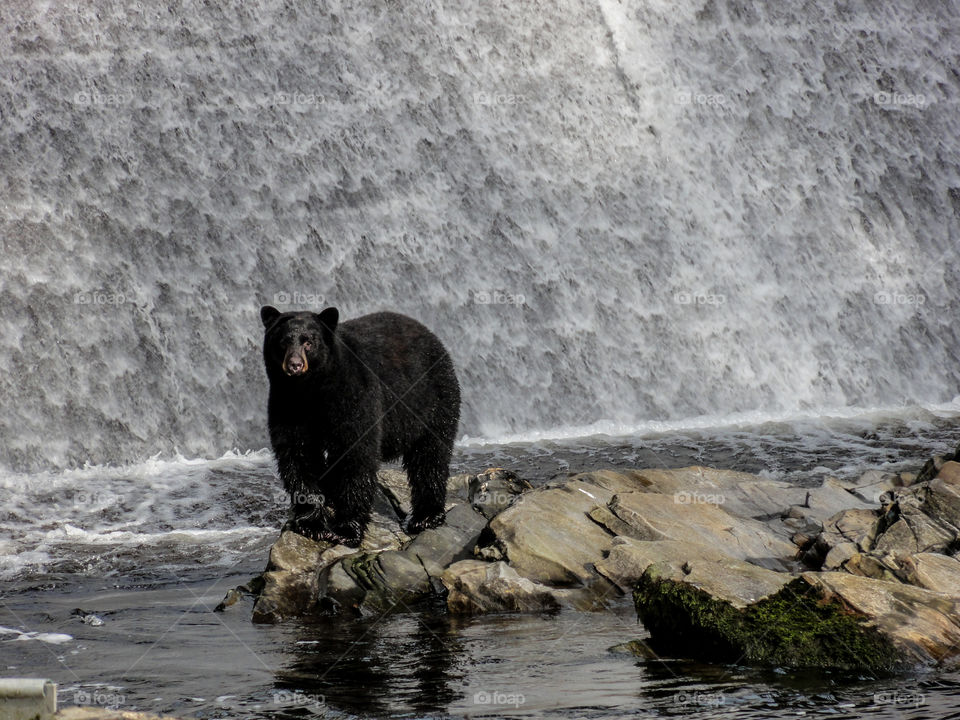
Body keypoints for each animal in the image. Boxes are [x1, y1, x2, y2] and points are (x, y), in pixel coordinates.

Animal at [258, 304, 462, 544]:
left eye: (309, 342)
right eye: (283, 341)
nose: (295, 365)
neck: (312, 390)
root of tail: (430, 335)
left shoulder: (354, 394)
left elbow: (356, 454)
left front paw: (346, 529)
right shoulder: (287, 405)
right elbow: (297, 455)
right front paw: (313, 524)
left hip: (433, 400)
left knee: (431, 456)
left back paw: (426, 516)